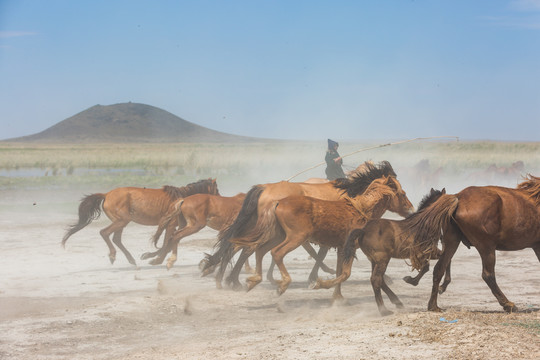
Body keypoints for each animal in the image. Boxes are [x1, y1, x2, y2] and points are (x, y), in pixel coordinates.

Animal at [64, 179, 220, 266]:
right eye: (216, 189)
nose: (220, 199)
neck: (183, 198)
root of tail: (106, 194)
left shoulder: (172, 226)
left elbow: (168, 243)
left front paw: (150, 256)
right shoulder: (170, 225)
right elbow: (166, 244)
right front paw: (154, 259)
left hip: (120, 222)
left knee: (116, 238)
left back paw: (131, 260)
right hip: (122, 221)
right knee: (105, 233)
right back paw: (113, 256)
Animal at [342, 188, 452, 316]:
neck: (425, 223)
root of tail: (363, 230)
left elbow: (431, 266)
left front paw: (412, 280)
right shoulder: (427, 252)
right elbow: (439, 263)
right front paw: (418, 282)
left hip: (374, 260)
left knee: (380, 280)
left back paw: (397, 302)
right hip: (383, 259)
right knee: (376, 279)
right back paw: (384, 310)